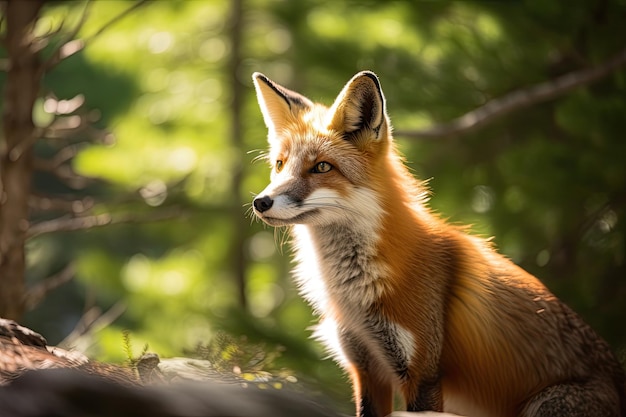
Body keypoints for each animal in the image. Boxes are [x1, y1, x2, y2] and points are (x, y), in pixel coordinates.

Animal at [250, 70, 624, 414]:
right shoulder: (366, 368)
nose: (260, 202)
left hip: (546, 404)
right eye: (279, 165)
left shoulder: (423, 372)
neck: (356, 295)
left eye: (322, 167)